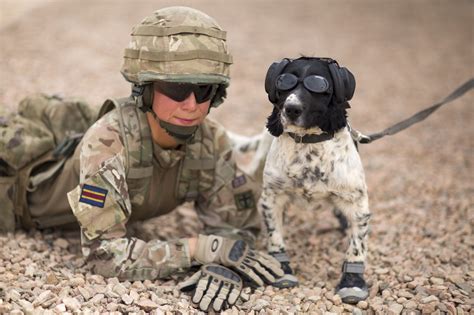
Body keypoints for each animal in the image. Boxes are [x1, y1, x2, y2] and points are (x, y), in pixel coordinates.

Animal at [260, 56, 370, 304]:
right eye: (284, 83)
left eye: (318, 86)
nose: (291, 108)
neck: (309, 144)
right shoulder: (271, 197)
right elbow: (275, 235)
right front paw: (282, 269)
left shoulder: (358, 203)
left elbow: (357, 245)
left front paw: (352, 283)